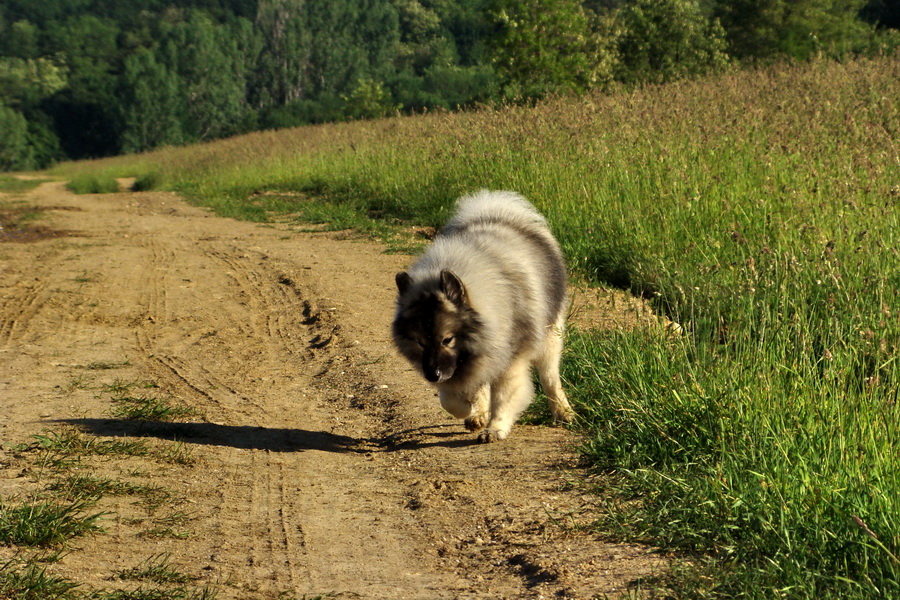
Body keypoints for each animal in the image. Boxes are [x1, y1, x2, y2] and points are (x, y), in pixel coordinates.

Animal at [392, 190, 576, 442]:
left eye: (447, 340)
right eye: (420, 342)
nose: (432, 375)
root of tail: (496, 213)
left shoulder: (509, 359)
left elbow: (504, 397)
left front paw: (495, 427)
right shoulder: (467, 363)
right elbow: (450, 399)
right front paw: (473, 411)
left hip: (549, 338)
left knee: (550, 377)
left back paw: (563, 411)